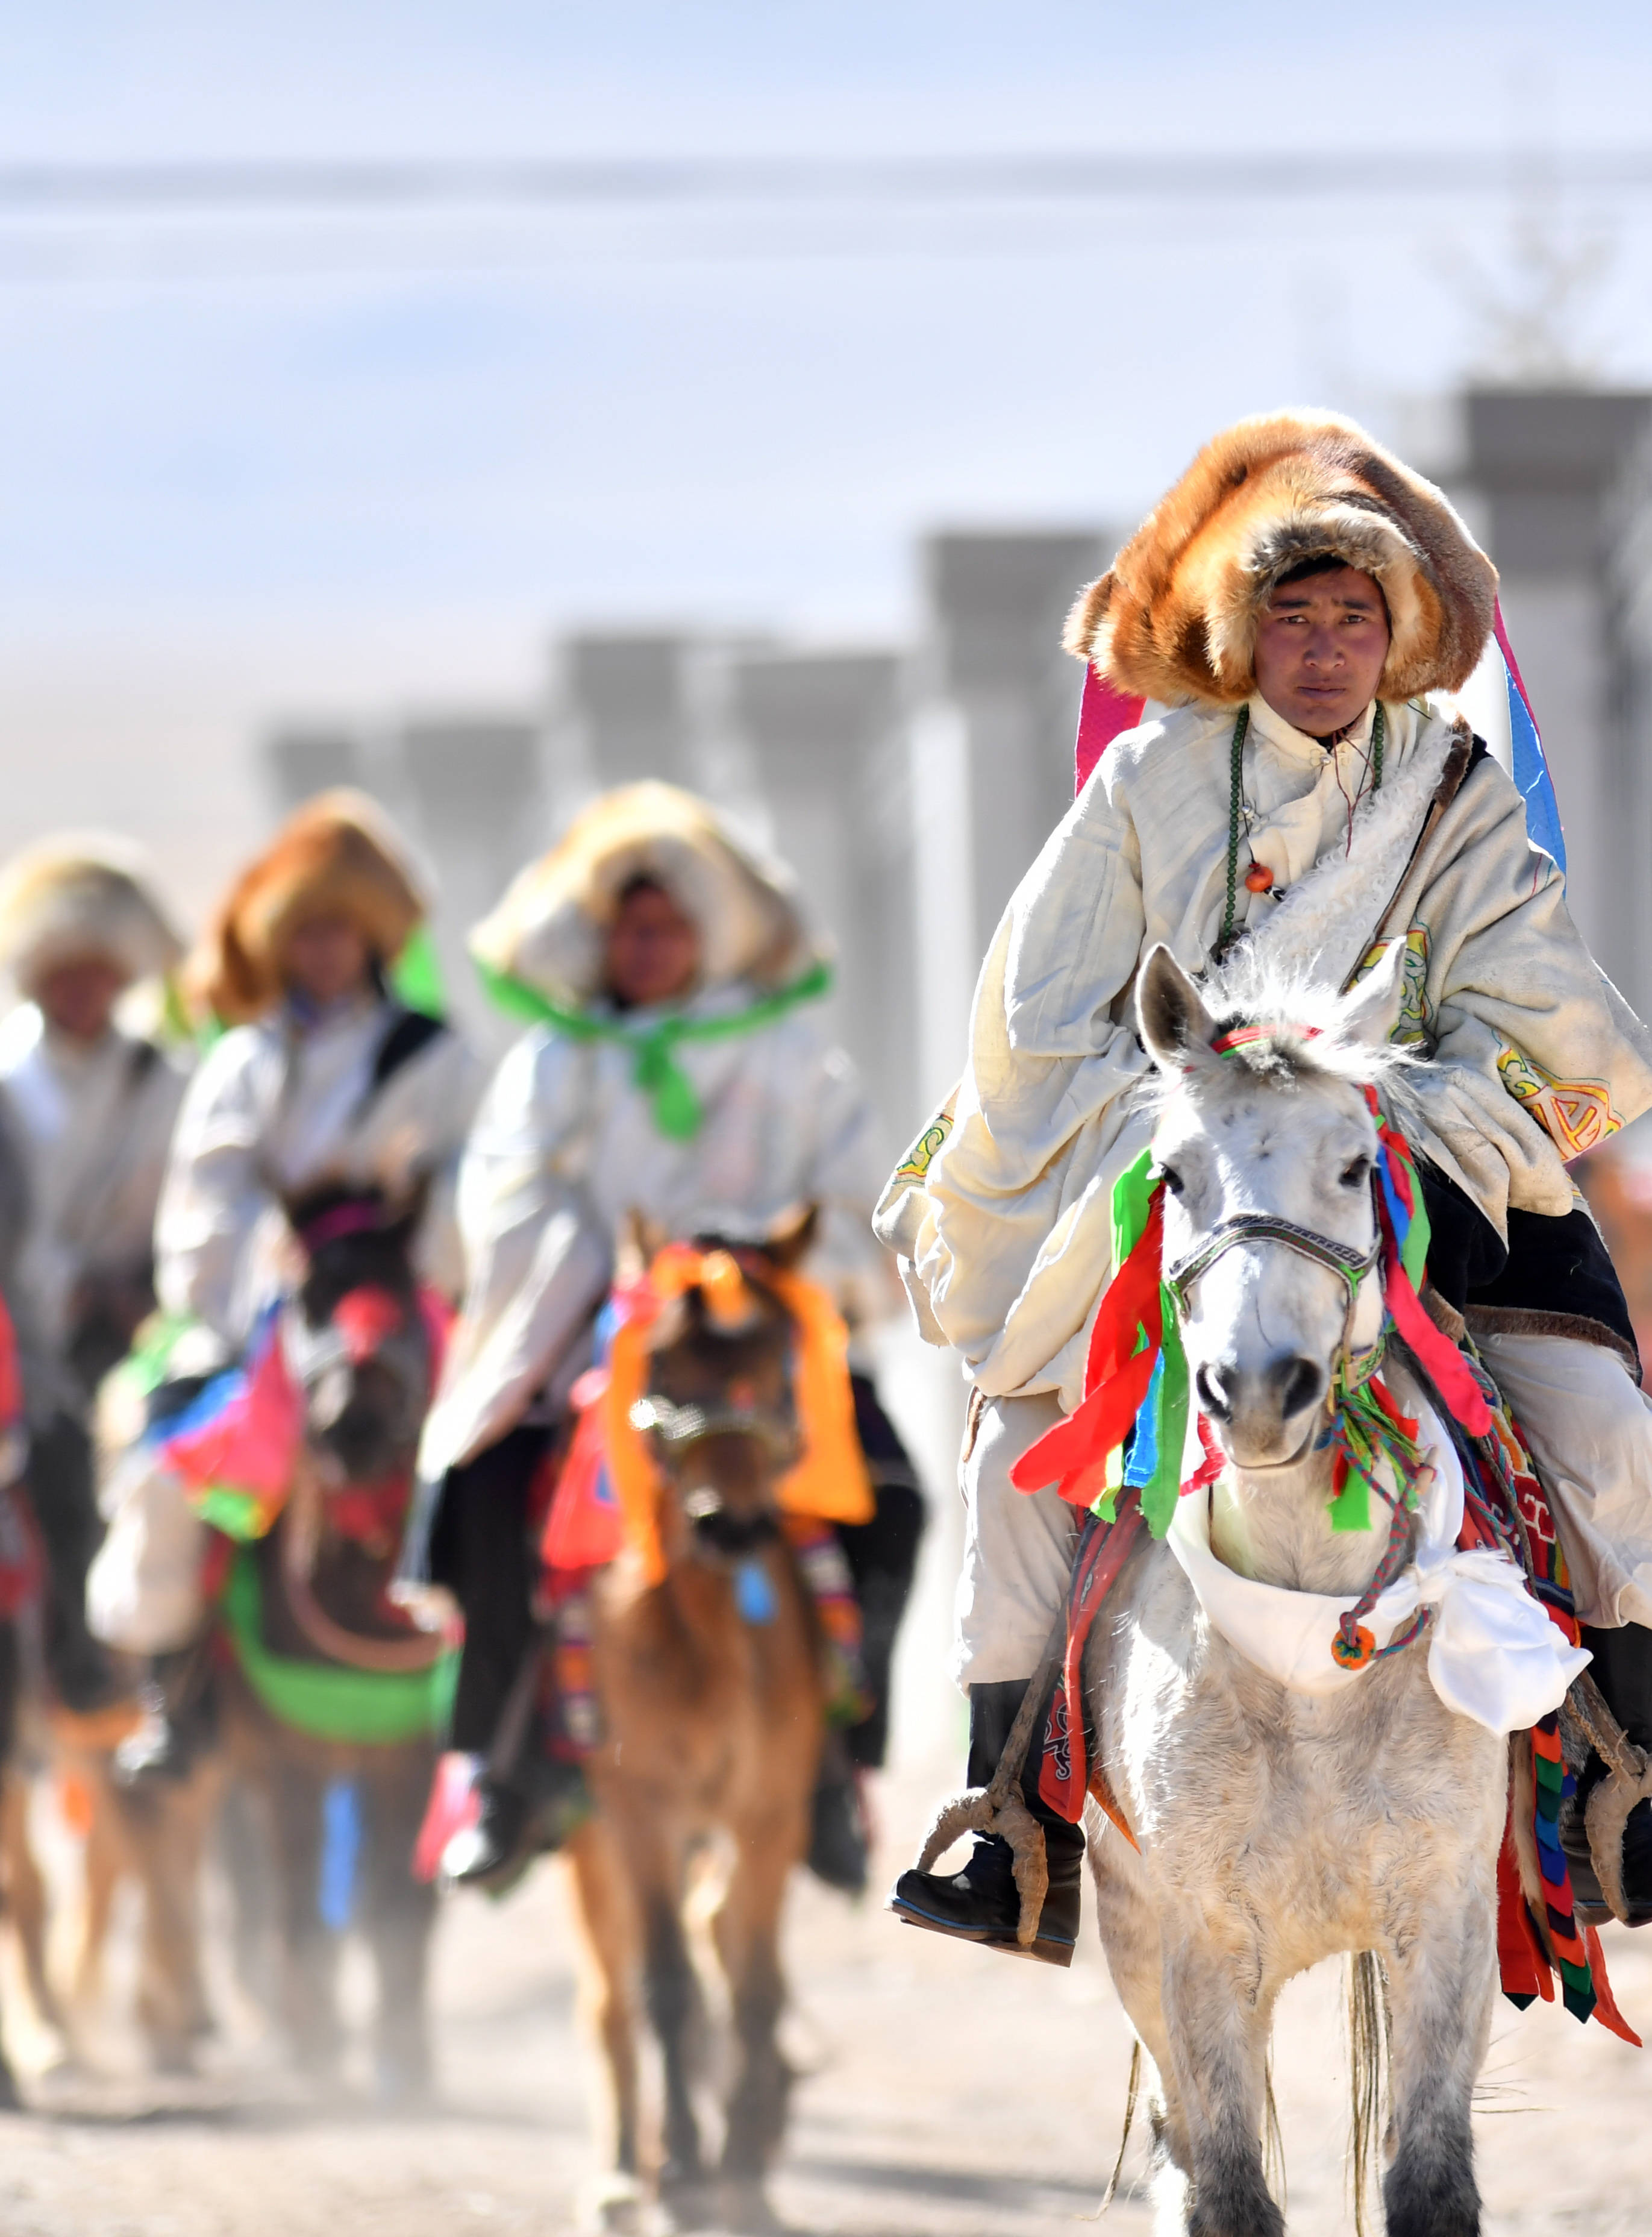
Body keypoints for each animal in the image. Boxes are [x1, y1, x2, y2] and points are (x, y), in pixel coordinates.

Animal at [577, 1217, 840, 2228]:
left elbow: (753, 1984)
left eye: (776, 1359)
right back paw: (625, 2165)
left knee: (722, 1940)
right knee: (610, 1991)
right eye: (659, 1364)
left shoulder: (770, 1812)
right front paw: (687, 2169)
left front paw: (740, 2167)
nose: (728, 1525)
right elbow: (665, 1986)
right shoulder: (636, 1809)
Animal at [1086, 948, 1565, 2237]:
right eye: (1174, 1175)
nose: (1259, 1387)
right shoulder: (1196, 1937)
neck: (1313, 1670)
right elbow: (1227, 2187)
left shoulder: (1444, 1914)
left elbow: (1430, 2178)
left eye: (1354, 1165)